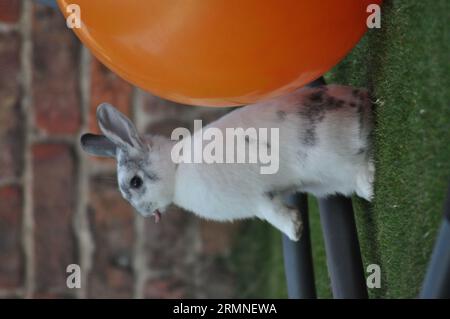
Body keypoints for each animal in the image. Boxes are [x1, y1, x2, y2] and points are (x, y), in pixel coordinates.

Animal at [80, 84, 372, 241]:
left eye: (135, 182)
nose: (146, 213)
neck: (176, 168)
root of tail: (362, 103)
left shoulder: (255, 200)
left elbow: (275, 215)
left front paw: (295, 231)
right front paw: (297, 229)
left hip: (329, 161)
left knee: (357, 168)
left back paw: (369, 186)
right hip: (323, 182)